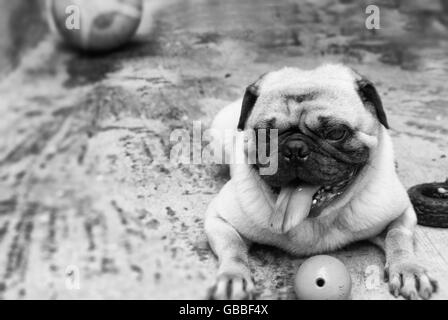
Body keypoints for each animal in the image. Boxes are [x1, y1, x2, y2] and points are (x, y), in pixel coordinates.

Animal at [206, 63, 438, 298]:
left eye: (336, 133)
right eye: (265, 134)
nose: (295, 148)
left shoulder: (402, 214)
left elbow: (397, 237)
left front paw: (408, 269)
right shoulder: (218, 220)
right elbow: (233, 248)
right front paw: (233, 277)